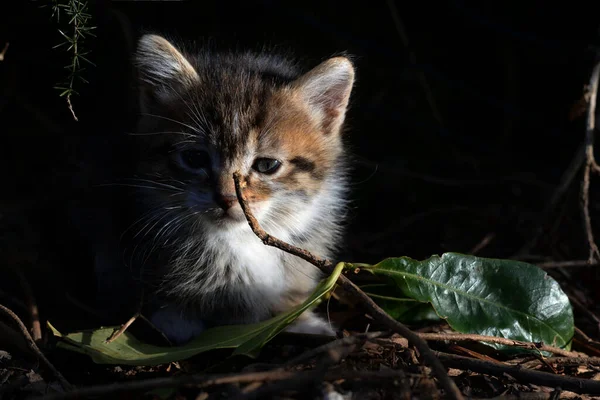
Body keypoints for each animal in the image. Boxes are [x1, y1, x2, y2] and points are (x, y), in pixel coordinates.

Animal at [104, 34, 356, 344]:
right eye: (195, 158)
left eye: (267, 165)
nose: (225, 198)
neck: (238, 241)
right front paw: (175, 319)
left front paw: (301, 321)